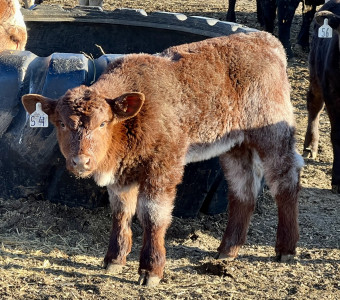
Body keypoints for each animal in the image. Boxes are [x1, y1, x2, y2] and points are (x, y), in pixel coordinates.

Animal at [21, 31, 302, 288]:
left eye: (102, 123)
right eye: (61, 124)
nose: (81, 162)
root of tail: (265, 39)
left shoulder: (163, 167)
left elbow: (153, 215)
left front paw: (150, 269)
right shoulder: (122, 175)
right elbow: (121, 212)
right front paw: (114, 259)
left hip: (273, 134)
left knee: (285, 181)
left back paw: (285, 248)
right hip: (236, 146)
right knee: (243, 191)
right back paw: (227, 250)